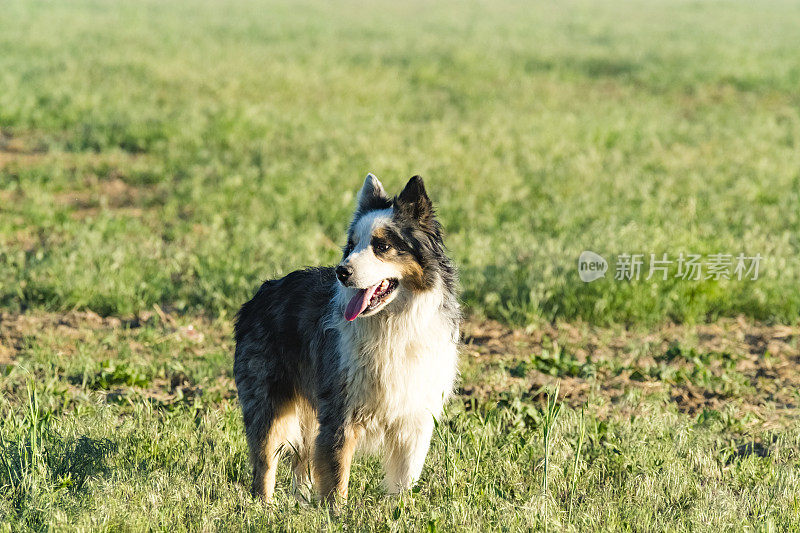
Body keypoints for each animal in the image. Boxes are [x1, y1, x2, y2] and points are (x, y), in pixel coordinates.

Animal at [233, 174, 456, 502]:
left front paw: (399, 509)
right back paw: (264, 506)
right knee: (265, 462)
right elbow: (337, 477)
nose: (341, 272)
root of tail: (260, 293)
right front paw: (336, 511)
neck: (392, 322)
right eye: (351, 246)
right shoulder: (341, 410)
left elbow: (404, 479)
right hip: (267, 400)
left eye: (382, 246)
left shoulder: (414, 416)